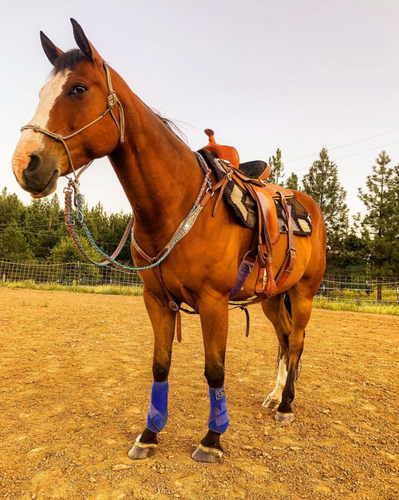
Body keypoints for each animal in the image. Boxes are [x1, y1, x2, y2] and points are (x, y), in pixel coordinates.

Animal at [10, 20, 326, 464]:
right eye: (42, 92)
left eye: (78, 89)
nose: (25, 164)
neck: (175, 204)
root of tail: (308, 205)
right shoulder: (156, 300)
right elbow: (160, 365)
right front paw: (149, 434)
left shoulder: (213, 302)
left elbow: (215, 369)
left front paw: (211, 440)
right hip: (271, 296)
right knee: (283, 340)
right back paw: (274, 395)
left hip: (303, 293)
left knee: (295, 341)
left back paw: (286, 406)